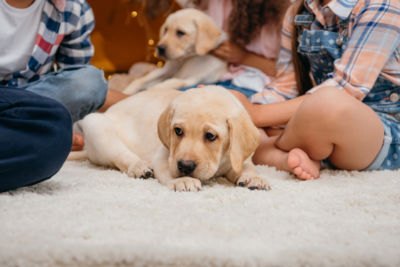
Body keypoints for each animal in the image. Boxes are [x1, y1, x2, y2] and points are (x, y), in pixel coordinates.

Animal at [70, 85, 270, 192]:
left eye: (210, 136)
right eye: (178, 131)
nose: (185, 166)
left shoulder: (238, 156)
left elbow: (247, 166)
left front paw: (254, 178)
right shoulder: (164, 156)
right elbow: (167, 169)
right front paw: (182, 180)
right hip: (96, 125)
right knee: (121, 157)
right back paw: (140, 167)